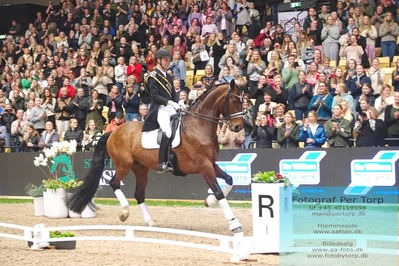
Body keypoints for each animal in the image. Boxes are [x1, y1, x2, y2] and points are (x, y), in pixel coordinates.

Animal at [70, 79, 248, 254]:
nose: (238, 127)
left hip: (140, 168)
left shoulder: (211, 164)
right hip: (123, 165)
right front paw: (234, 224)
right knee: (114, 183)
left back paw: (150, 221)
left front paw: (209, 202)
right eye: (234, 101)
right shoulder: (204, 166)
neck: (198, 126)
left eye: (243, 101)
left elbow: (229, 180)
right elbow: (218, 191)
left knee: (139, 193)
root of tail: (114, 132)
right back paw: (124, 212)